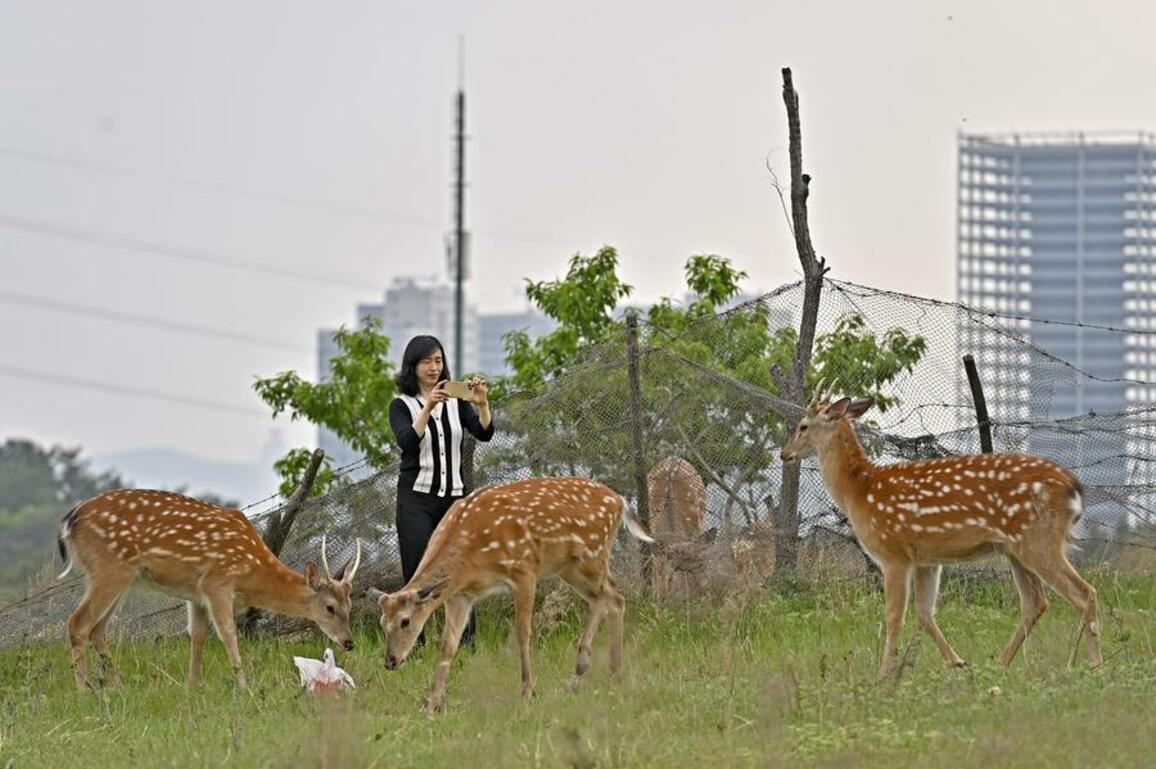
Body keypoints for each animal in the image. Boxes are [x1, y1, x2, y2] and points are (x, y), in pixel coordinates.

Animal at [57, 488, 361, 692]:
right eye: (329, 607)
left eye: (350, 606)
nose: (349, 642)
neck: (251, 572)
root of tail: (69, 521)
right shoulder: (217, 581)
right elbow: (227, 632)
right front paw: (244, 688)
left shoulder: (195, 593)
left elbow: (198, 635)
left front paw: (191, 686)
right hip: (110, 568)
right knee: (78, 622)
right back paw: (83, 692)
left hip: (121, 577)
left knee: (98, 628)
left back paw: (119, 686)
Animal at [368, 476, 654, 713]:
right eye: (382, 623)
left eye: (405, 621)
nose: (390, 661)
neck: (470, 560)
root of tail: (620, 502)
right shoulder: (461, 594)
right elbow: (449, 644)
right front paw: (432, 703)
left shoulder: (524, 569)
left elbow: (522, 632)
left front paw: (528, 691)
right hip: (570, 567)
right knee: (603, 599)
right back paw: (592, 673)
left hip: (592, 555)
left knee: (614, 597)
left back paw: (606, 673)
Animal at [780, 392, 1102, 675]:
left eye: (803, 426)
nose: (785, 454)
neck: (858, 491)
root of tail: (1074, 489)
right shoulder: (927, 559)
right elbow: (925, 613)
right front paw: (957, 662)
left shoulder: (893, 553)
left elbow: (894, 615)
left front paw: (884, 673)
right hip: (1017, 549)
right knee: (1036, 602)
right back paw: (1001, 664)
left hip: (1038, 539)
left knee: (1084, 592)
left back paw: (1090, 663)